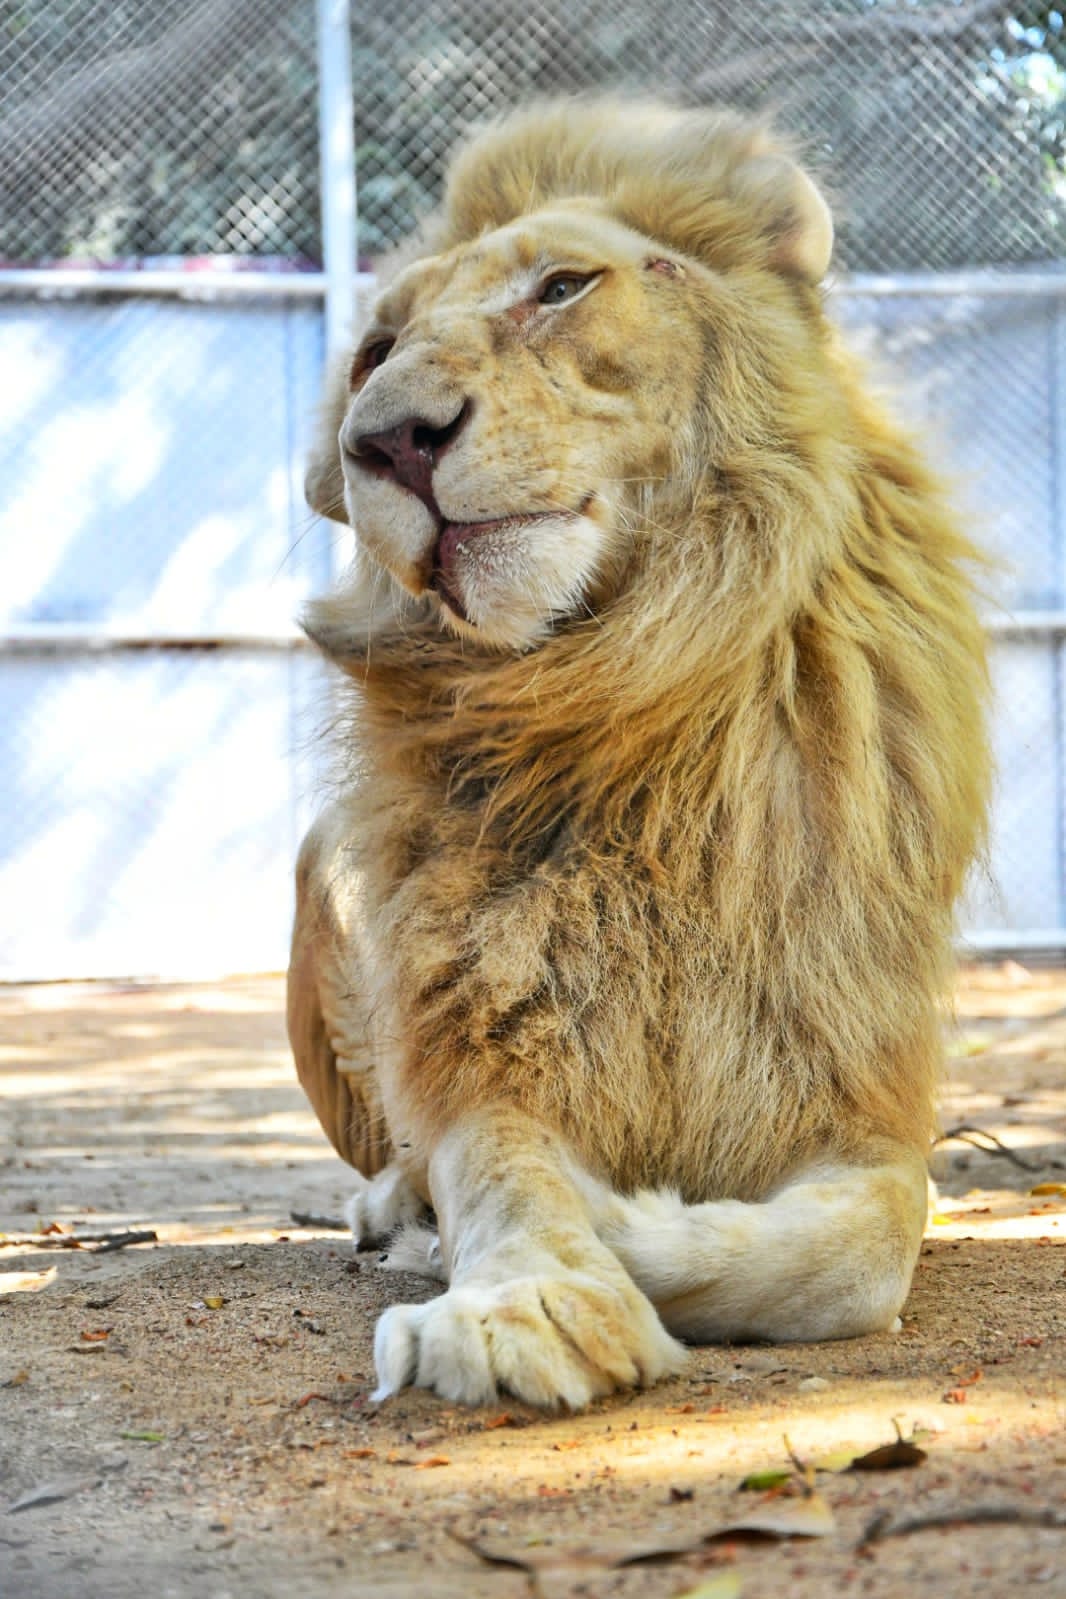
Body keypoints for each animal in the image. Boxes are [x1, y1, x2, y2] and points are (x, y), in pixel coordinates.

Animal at [288, 98, 991, 1410]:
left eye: (561, 288)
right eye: (371, 355)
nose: (388, 441)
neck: (628, 702)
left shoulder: (858, 1092)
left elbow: (861, 1251)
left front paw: (625, 1227)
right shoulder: (486, 1054)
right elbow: (501, 1172)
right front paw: (521, 1299)